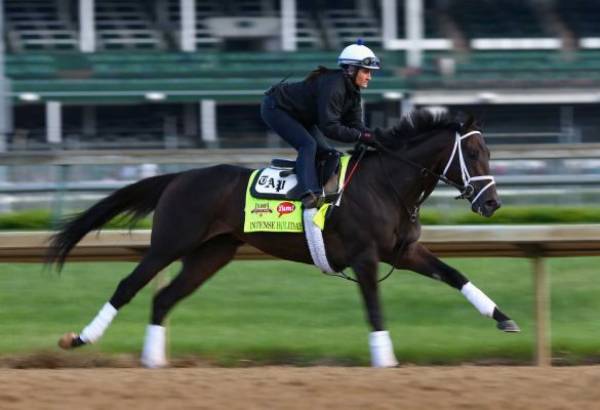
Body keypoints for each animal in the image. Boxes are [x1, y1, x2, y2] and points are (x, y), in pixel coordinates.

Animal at [49, 108, 520, 368]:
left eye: (489, 152)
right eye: (472, 153)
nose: (492, 203)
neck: (387, 183)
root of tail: (179, 177)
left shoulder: (404, 252)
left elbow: (455, 275)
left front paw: (503, 317)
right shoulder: (365, 257)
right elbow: (374, 309)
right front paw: (385, 359)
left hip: (211, 254)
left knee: (163, 299)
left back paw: (152, 360)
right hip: (170, 243)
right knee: (129, 286)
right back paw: (81, 338)